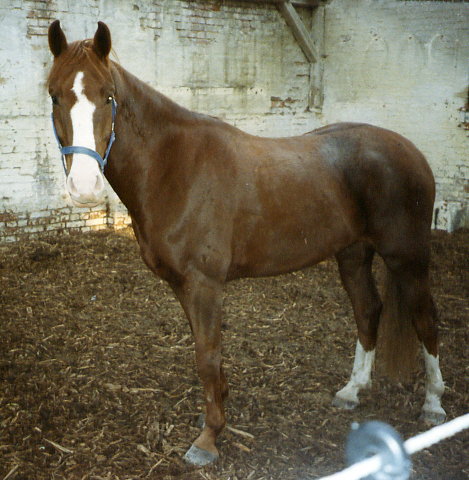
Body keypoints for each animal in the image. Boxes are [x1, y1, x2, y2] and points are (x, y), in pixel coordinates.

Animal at [47, 21, 446, 464]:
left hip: (407, 256)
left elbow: (207, 357)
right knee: (368, 310)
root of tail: (410, 151)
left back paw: (433, 404)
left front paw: (208, 438)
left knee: (425, 318)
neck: (174, 166)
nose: (84, 187)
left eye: (108, 96)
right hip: (353, 255)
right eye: (54, 94)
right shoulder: (184, 286)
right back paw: (351, 391)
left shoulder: (204, 284)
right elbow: (207, 353)